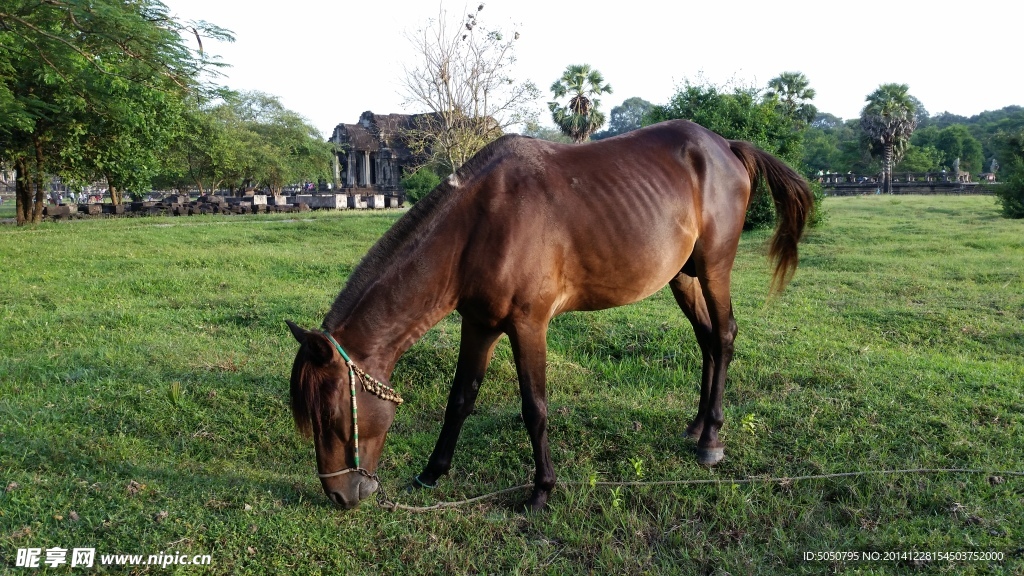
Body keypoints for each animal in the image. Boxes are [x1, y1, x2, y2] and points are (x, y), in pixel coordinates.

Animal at [286, 119, 814, 511]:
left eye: (329, 414)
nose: (339, 494)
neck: (478, 225)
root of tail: (724, 146)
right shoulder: (480, 324)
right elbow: (460, 398)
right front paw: (432, 473)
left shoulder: (528, 325)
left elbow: (534, 407)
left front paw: (541, 490)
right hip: (682, 277)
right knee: (706, 340)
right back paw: (697, 426)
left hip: (713, 268)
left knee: (723, 336)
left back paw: (712, 441)